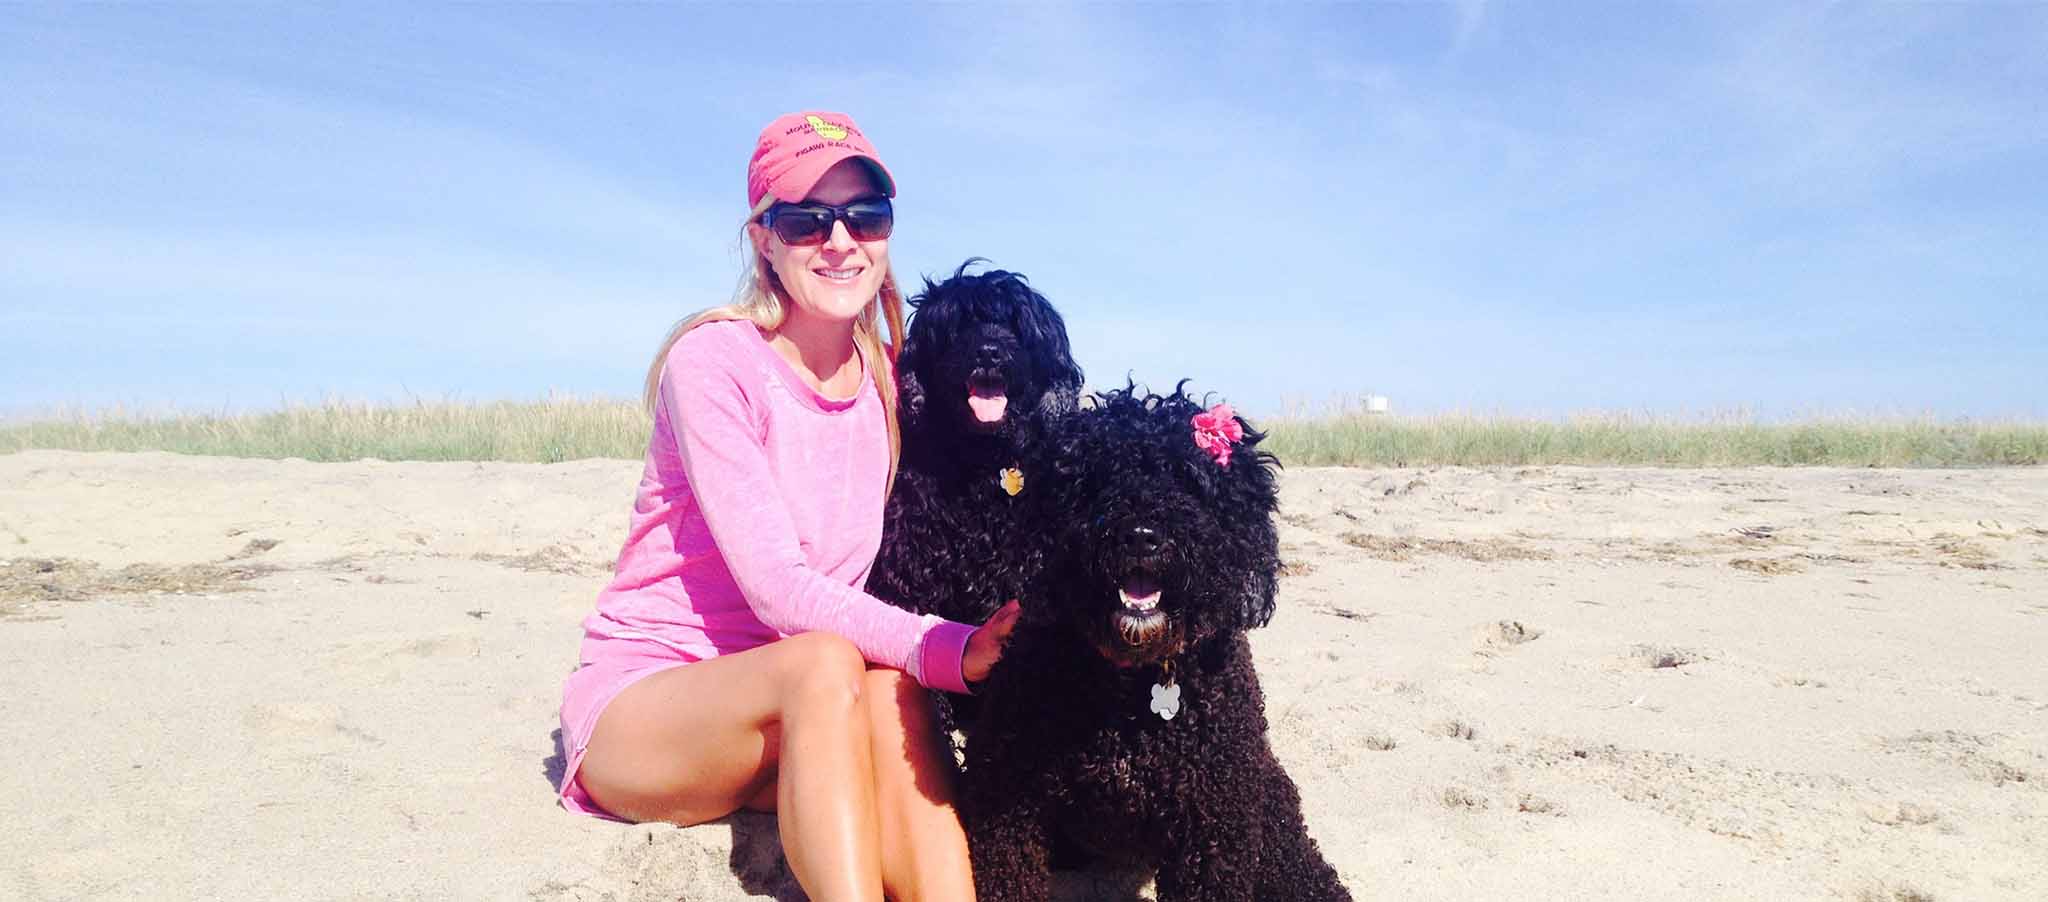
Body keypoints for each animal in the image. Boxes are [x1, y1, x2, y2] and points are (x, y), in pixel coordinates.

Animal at [961, 385, 1352, 902]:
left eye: (1189, 481)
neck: (1130, 685)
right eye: (1095, 479)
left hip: (1268, 795)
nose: (1141, 537)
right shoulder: (1005, 796)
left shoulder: (1213, 828)